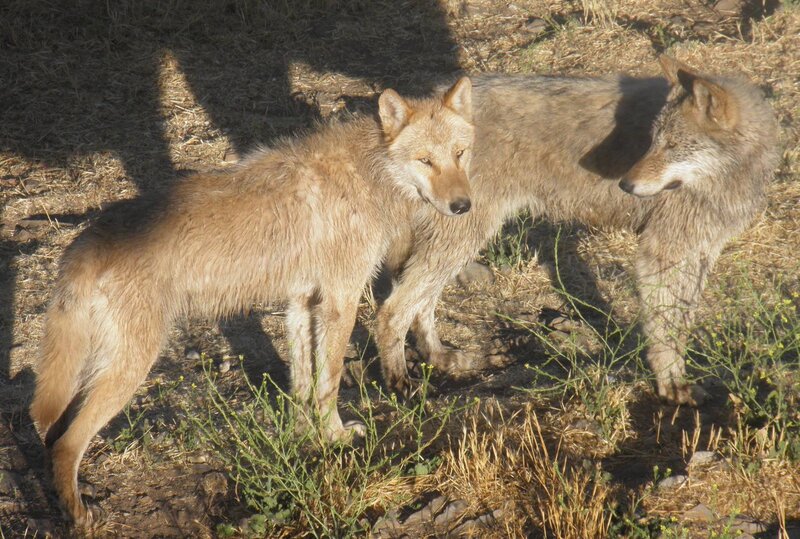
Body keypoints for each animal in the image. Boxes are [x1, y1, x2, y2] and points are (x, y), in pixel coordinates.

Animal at [29, 77, 474, 526]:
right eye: (425, 161)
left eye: (459, 154)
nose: (463, 206)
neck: (368, 173)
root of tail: (85, 242)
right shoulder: (340, 300)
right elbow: (328, 382)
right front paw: (335, 436)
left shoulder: (301, 303)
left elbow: (303, 382)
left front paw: (305, 437)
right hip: (129, 367)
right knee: (67, 443)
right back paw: (78, 515)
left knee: (49, 431)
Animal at [377, 56, 779, 405]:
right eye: (654, 141)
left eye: (672, 146)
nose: (625, 185)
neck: (729, 179)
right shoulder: (660, 252)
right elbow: (665, 330)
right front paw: (672, 387)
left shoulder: (701, 252)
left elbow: (682, 321)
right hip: (462, 239)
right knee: (393, 309)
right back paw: (401, 384)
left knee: (420, 305)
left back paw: (439, 358)